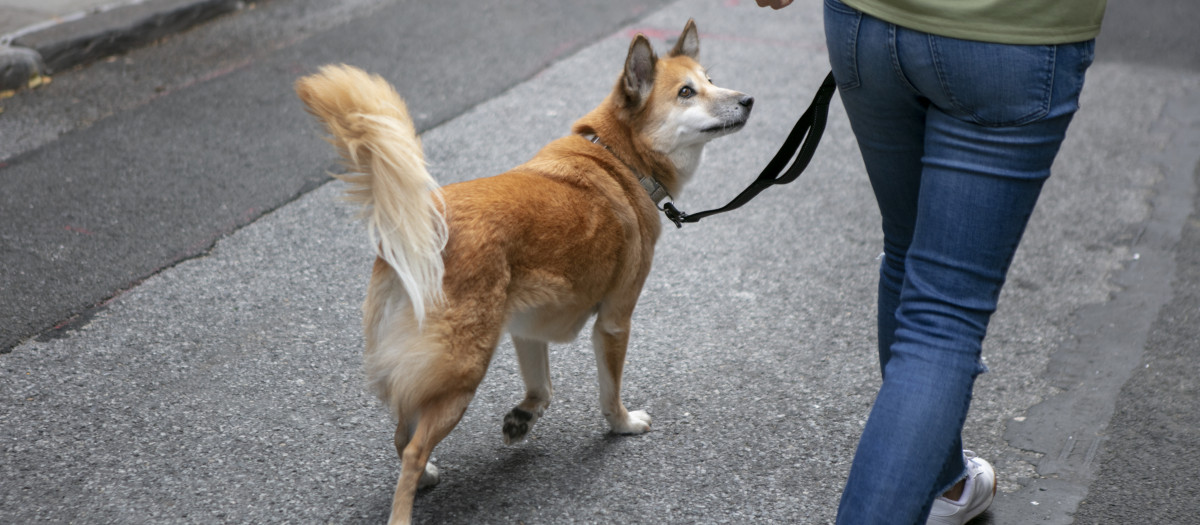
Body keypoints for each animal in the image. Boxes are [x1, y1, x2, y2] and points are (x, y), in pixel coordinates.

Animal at [295, 18, 748, 522]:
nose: (748, 100)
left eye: (711, 79)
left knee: (401, 431)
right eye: (687, 92)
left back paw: (428, 475)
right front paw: (623, 424)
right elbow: (609, 392)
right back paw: (407, 501)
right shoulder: (614, 321)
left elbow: (542, 388)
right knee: (409, 446)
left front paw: (522, 419)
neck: (619, 158)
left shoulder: (528, 327)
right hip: (463, 370)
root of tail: (425, 222)